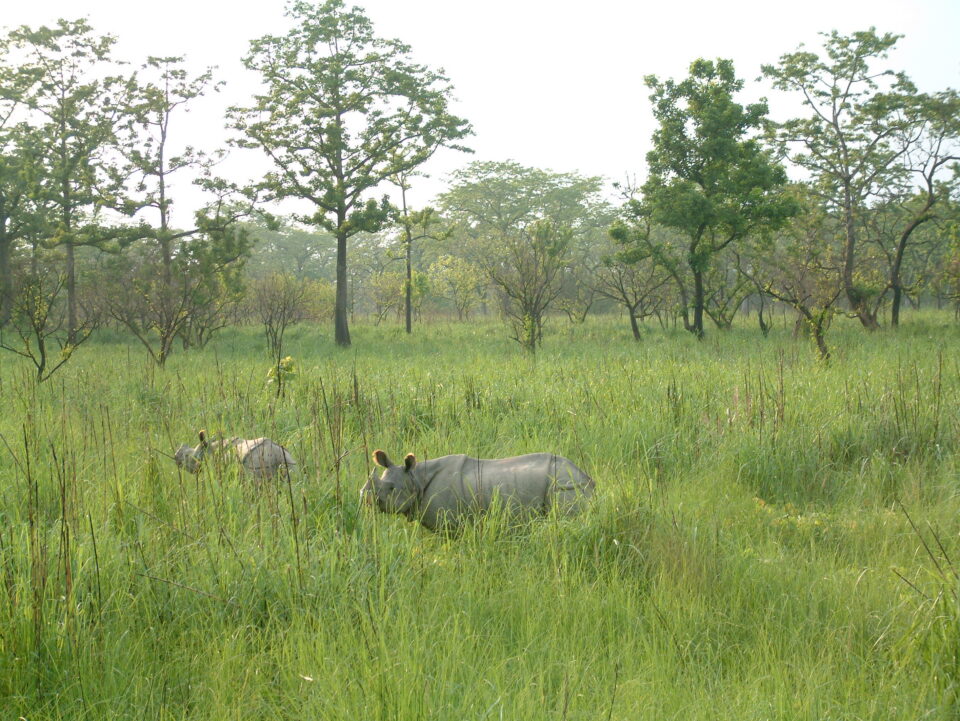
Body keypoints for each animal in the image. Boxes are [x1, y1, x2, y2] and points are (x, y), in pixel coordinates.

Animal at [361, 449, 594, 530]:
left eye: (391, 489)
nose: (364, 498)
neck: (415, 478)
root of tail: (585, 477)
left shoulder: (451, 522)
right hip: (568, 484)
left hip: (565, 486)